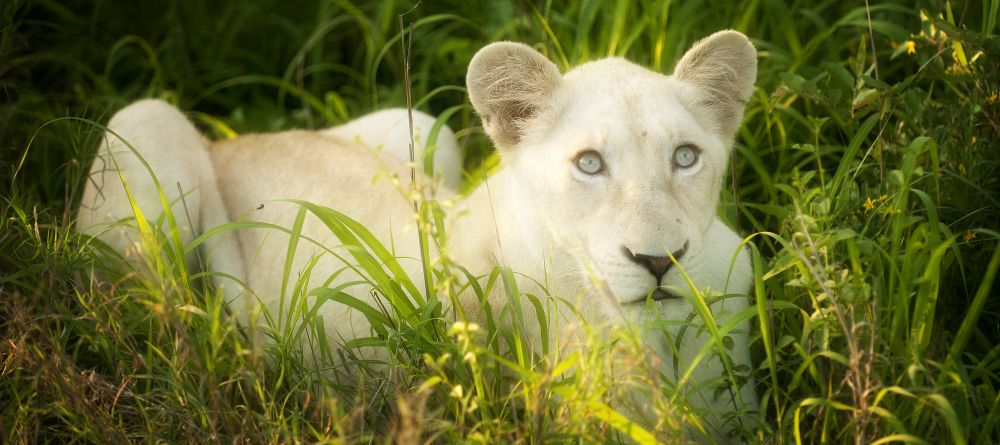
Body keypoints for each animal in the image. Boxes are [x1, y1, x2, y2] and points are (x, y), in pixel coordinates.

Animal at [80, 29, 756, 436]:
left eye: (686, 157)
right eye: (589, 163)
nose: (661, 260)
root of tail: (232, 140)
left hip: (424, 129)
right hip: (144, 123)